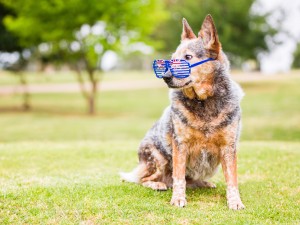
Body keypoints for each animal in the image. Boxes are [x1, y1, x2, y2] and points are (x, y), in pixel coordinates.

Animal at [120, 14, 245, 210]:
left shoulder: (228, 147)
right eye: (172, 59)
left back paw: (203, 183)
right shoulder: (180, 145)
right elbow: (178, 178)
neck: (204, 103)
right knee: (144, 179)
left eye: (188, 57)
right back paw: (158, 184)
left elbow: (232, 180)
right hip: (158, 159)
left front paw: (235, 201)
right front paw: (178, 199)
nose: (165, 77)